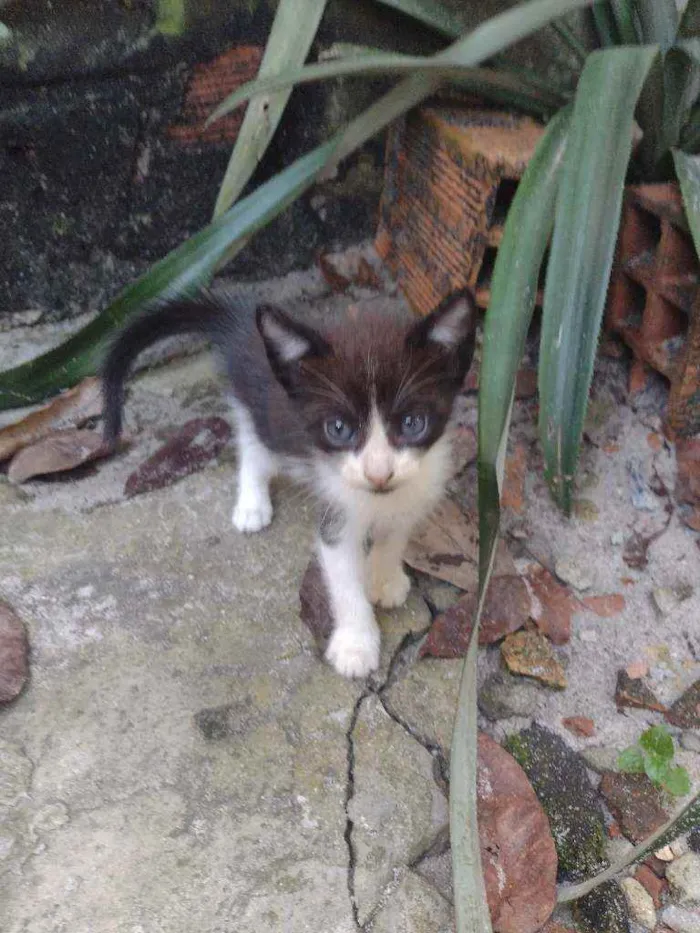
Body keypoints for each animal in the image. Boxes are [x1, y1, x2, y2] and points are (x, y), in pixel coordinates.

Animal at [102, 288, 476, 672]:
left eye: (413, 423)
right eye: (338, 428)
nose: (378, 473)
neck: (377, 498)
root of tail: (244, 329)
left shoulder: (415, 487)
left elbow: (395, 532)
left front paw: (384, 576)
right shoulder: (335, 506)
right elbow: (342, 576)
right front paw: (356, 644)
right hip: (266, 417)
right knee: (253, 445)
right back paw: (252, 504)